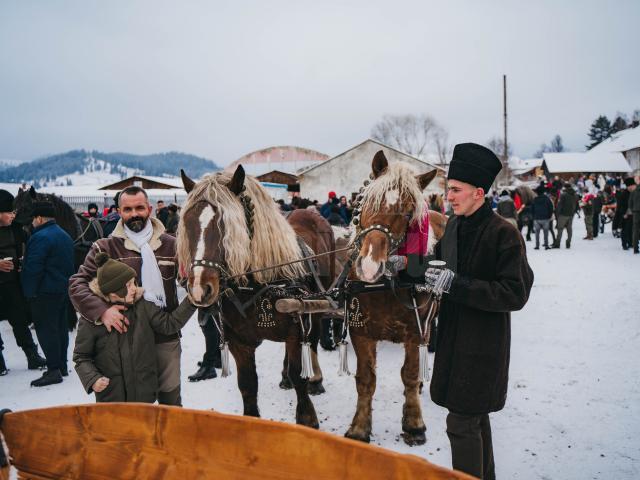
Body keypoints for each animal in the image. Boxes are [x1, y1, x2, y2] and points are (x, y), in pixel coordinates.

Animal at [176, 167, 336, 430]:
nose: (199, 288)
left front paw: (308, 419)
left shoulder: (297, 329)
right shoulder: (238, 341)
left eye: (226, 226)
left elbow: (298, 375)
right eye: (187, 223)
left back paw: (316, 378)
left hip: (317, 305)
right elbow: (248, 384)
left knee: (312, 341)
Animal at [344, 151, 444, 446]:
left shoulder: (416, 331)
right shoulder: (361, 331)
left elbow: (409, 374)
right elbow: (366, 379)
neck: (385, 285)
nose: (368, 265)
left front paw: (414, 423)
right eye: (366, 202)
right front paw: (360, 427)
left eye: (408, 212)